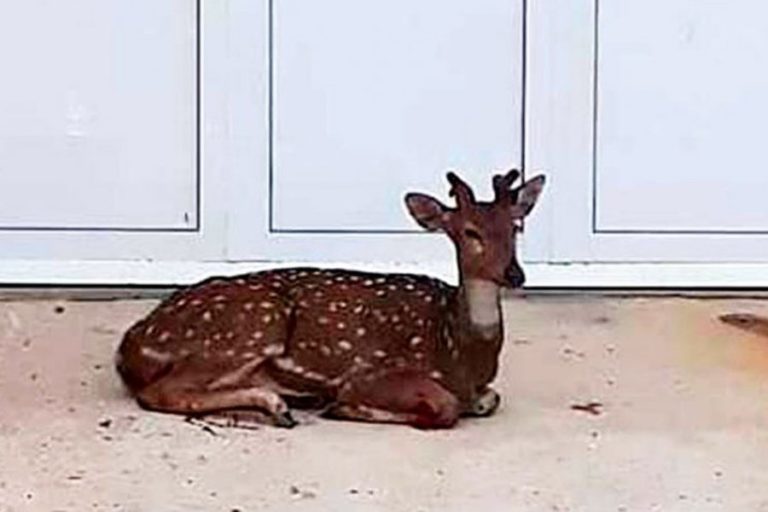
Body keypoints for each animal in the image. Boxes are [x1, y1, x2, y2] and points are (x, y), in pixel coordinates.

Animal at [115, 170, 546, 429]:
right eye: (470, 232)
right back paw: (281, 405)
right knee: (158, 392)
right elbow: (444, 408)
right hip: (248, 330)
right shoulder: (373, 371)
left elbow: (490, 399)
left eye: (516, 226)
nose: (514, 273)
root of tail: (132, 343)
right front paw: (344, 405)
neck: (459, 351)